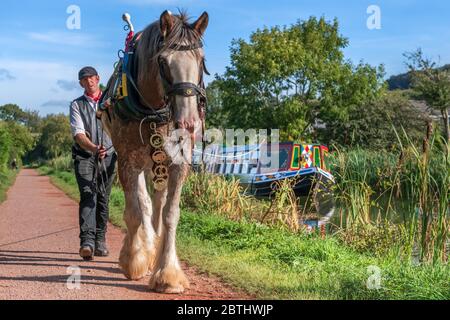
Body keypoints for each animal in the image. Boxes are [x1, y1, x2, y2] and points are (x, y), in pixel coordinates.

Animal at [100, 11, 209, 294]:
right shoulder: (128, 162)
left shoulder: (178, 162)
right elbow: (135, 213)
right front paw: (134, 260)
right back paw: (146, 250)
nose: (189, 123)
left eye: (201, 60)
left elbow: (171, 214)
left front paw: (168, 273)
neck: (154, 110)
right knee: (145, 205)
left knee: (158, 204)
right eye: (162, 61)